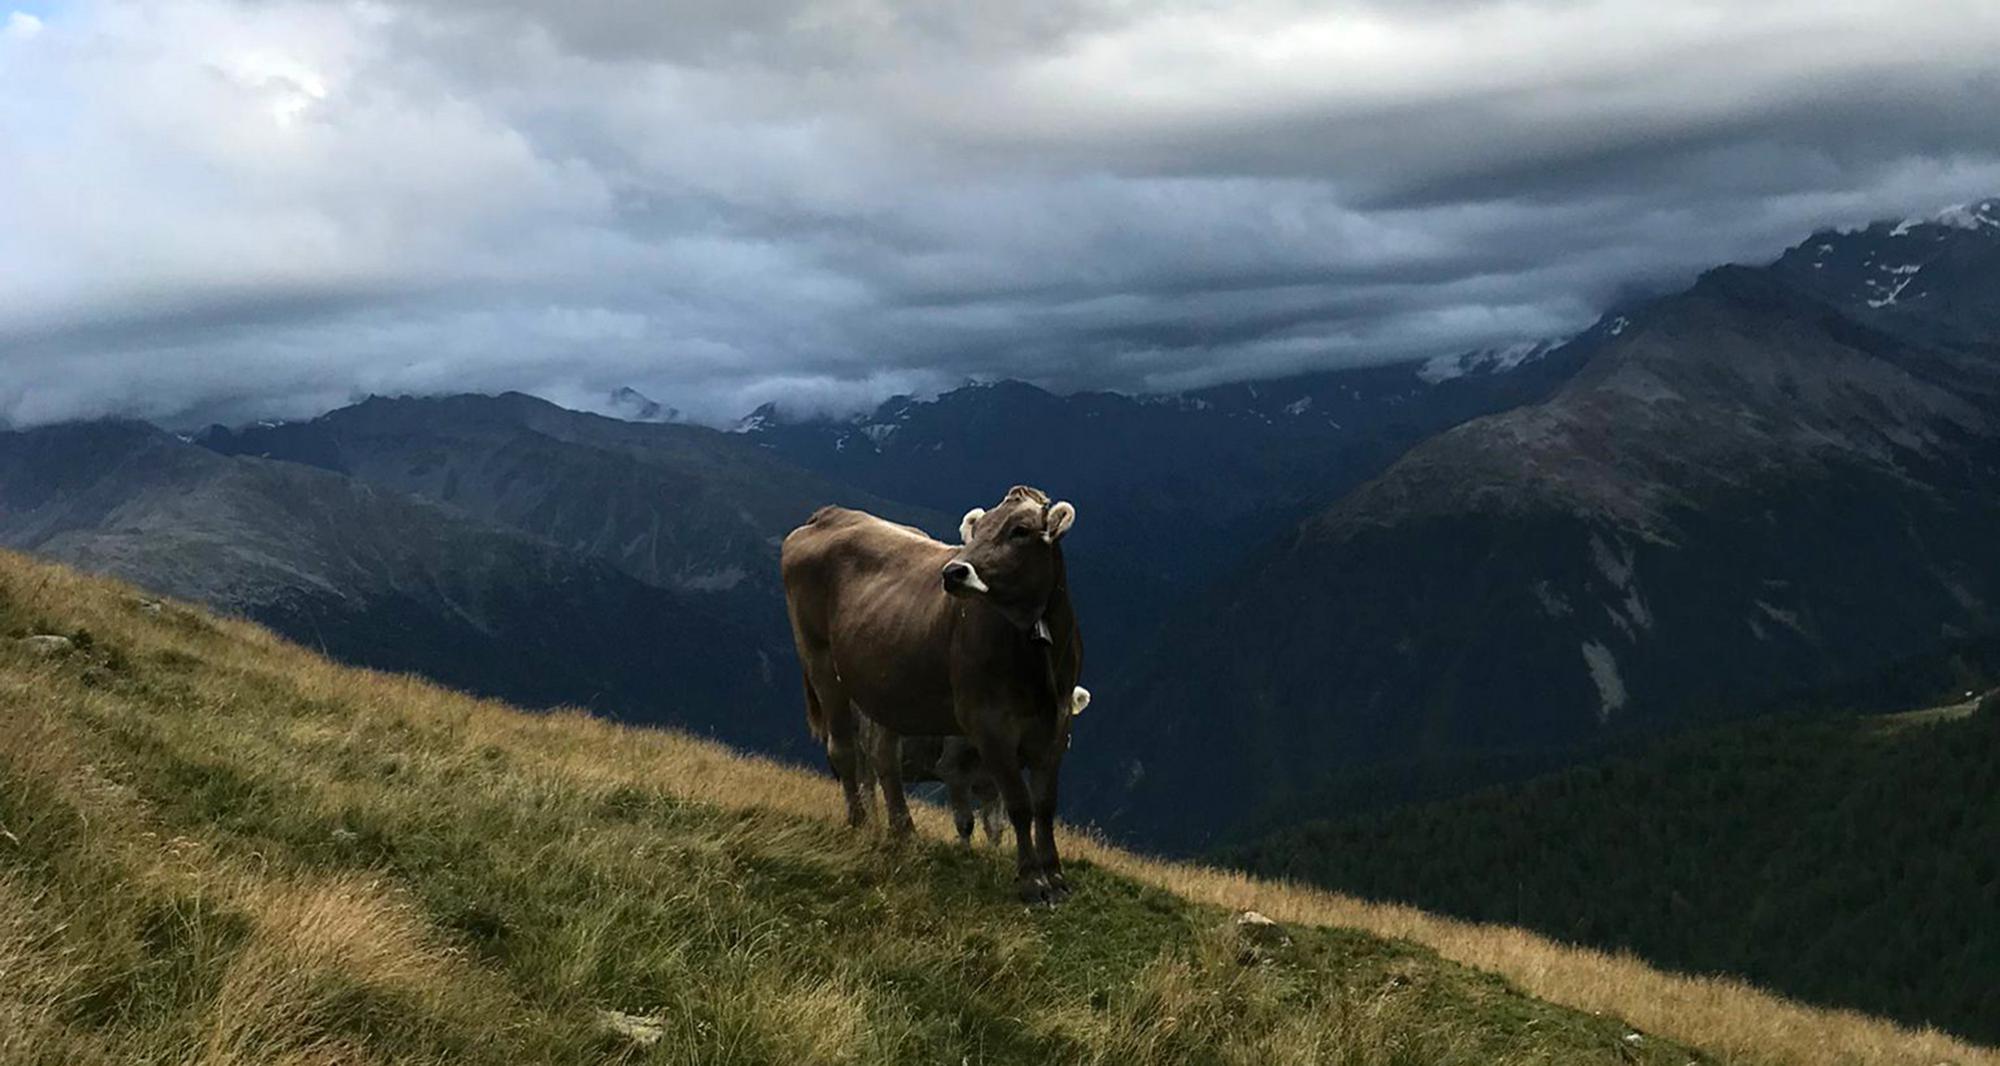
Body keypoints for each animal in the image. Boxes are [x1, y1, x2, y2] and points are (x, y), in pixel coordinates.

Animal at [784, 486, 1096, 900]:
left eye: (1021, 531)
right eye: (977, 529)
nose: (953, 572)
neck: (1036, 657)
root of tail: (830, 514)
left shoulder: (1054, 727)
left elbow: (1044, 805)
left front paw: (1056, 878)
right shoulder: (987, 724)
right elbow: (1018, 804)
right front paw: (1031, 881)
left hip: (884, 688)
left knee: (885, 760)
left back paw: (903, 833)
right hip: (819, 659)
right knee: (846, 751)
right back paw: (861, 824)